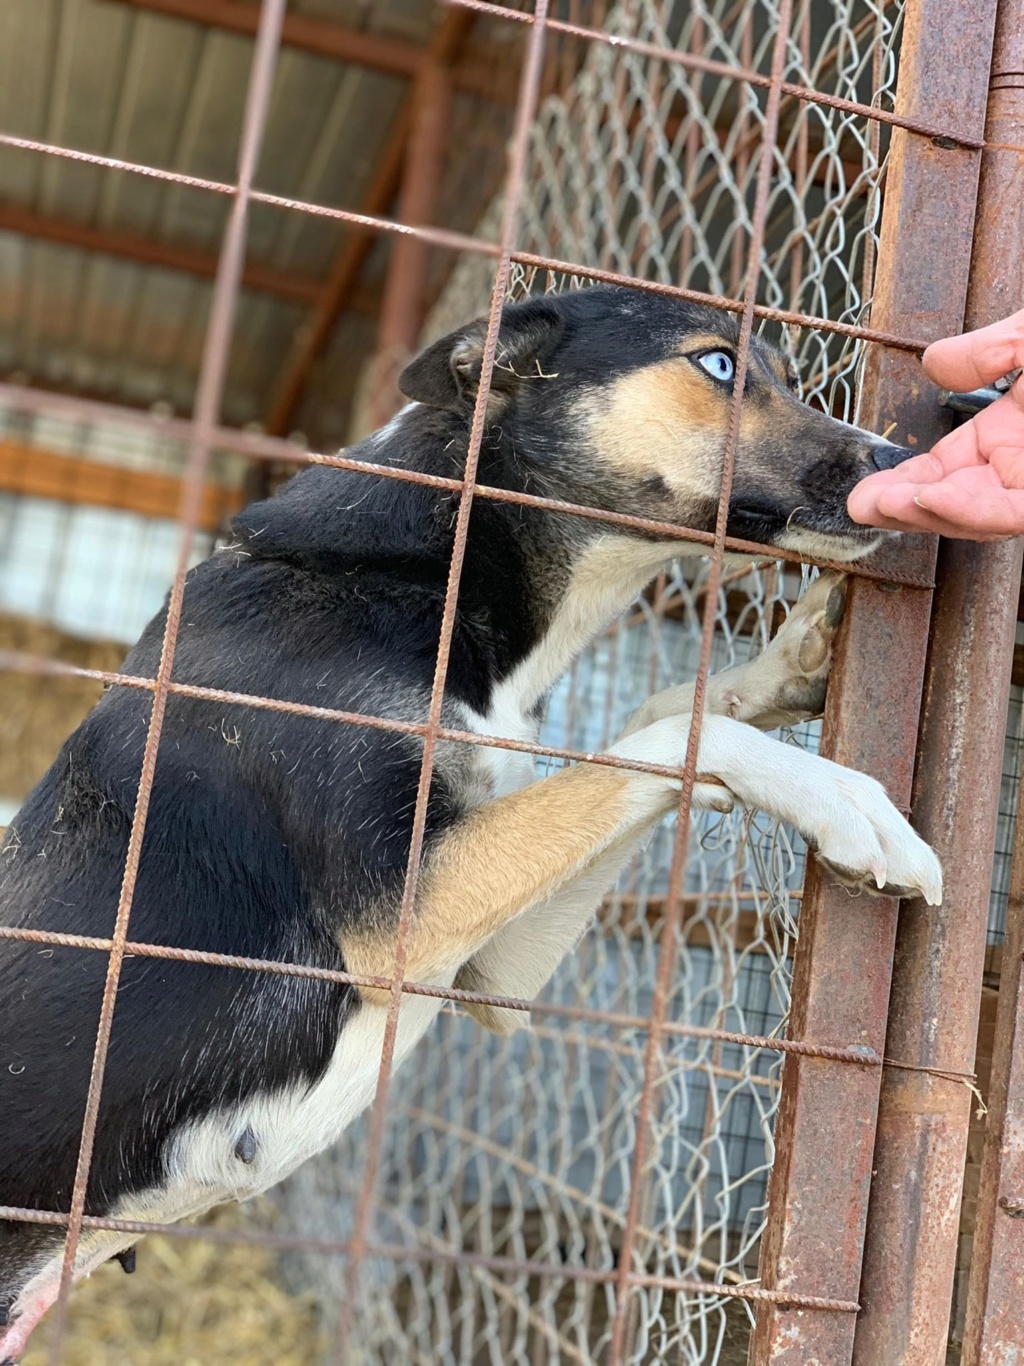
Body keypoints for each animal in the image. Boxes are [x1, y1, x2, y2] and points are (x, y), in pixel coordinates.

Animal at [0, 285, 944, 1355]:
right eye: (717, 365)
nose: (899, 461)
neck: (426, 567)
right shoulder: (408, 909)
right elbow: (673, 741)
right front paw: (847, 800)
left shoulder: (492, 969)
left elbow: (653, 722)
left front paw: (783, 666)